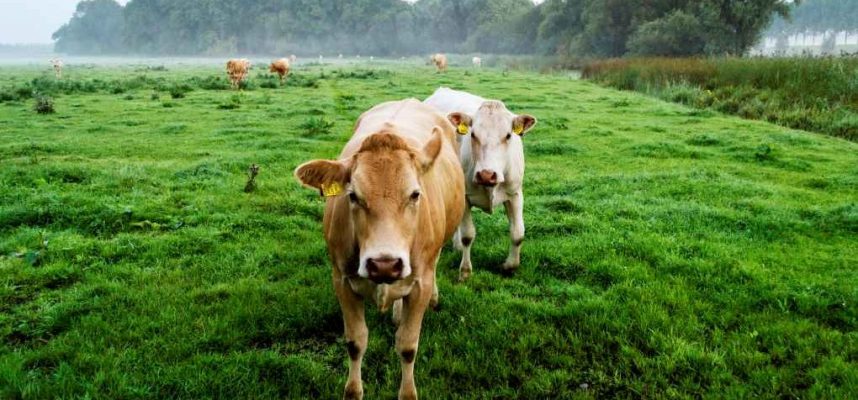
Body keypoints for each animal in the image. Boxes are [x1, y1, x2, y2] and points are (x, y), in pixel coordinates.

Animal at [294, 99, 465, 400]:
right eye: (353, 195)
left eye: (415, 194)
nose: (385, 264)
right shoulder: (342, 281)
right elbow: (355, 342)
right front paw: (353, 391)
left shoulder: (420, 283)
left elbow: (407, 346)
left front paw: (407, 393)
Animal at [424, 87, 537, 281]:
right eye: (473, 134)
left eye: (508, 135)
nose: (487, 175)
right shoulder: (465, 197)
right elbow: (468, 235)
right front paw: (465, 271)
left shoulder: (515, 194)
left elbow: (518, 233)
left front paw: (510, 266)